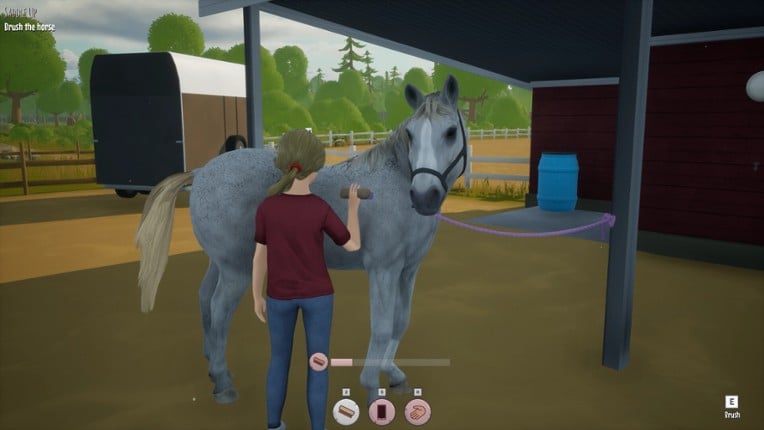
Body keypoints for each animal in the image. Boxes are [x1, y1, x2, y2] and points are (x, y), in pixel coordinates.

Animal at [135, 75, 468, 405]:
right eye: (410, 134)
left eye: (451, 132)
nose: (424, 196)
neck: (395, 184)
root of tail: (202, 171)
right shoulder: (383, 269)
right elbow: (383, 327)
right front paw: (373, 389)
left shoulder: (408, 270)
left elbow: (401, 321)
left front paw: (394, 375)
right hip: (237, 269)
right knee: (219, 309)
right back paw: (223, 384)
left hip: (222, 261)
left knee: (205, 298)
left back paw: (214, 366)